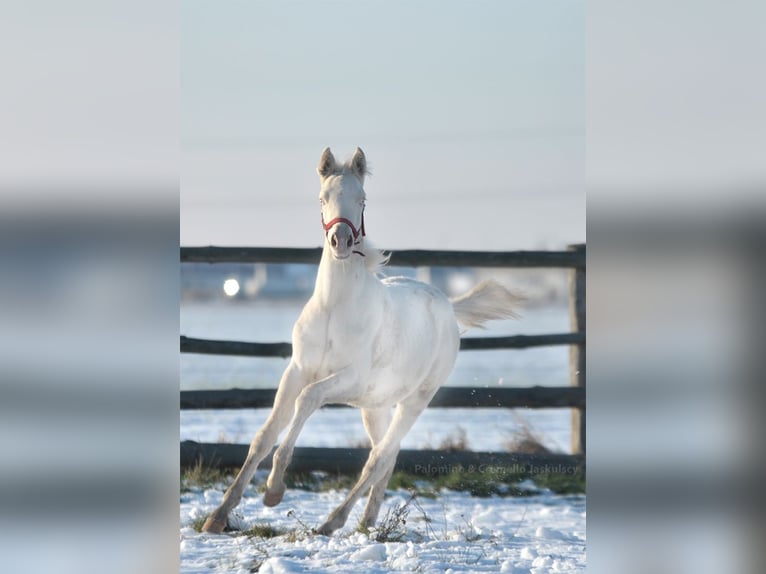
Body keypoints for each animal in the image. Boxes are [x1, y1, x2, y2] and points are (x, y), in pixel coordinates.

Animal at [202, 147, 524, 535]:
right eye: (322, 198)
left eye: (362, 199)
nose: (340, 241)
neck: (334, 308)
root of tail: (448, 305)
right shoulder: (297, 370)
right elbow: (264, 435)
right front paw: (218, 516)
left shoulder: (348, 378)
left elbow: (307, 401)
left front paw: (274, 491)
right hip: (376, 404)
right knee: (388, 456)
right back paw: (367, 523)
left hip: (416, 398)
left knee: (379, 457)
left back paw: (332, 522)